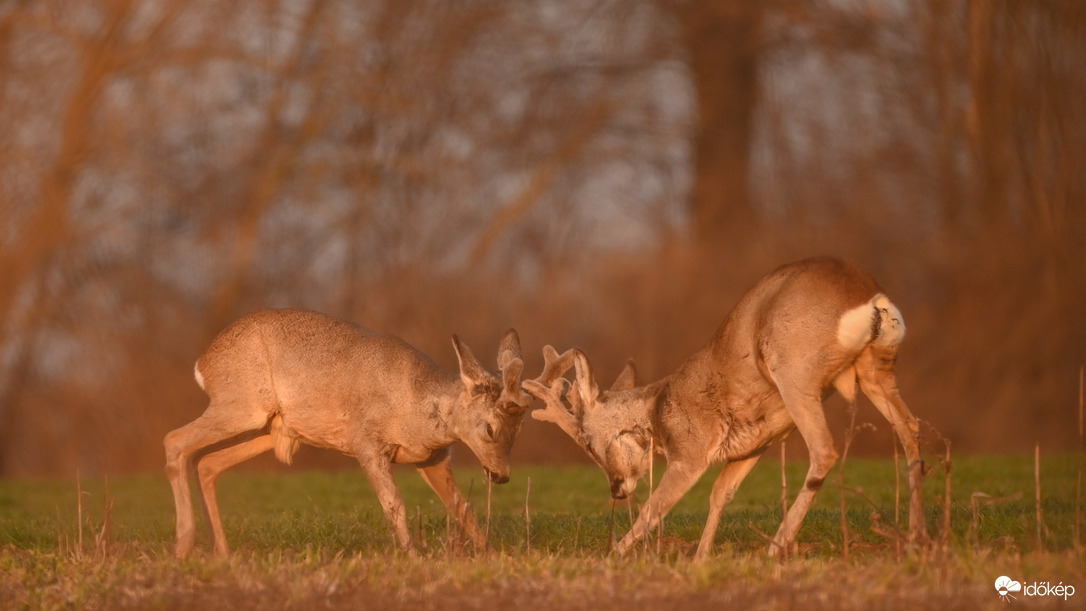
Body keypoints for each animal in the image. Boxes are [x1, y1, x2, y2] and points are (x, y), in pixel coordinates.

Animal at [162, 310, 532, 559]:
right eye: (490, 428)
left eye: (520, 429)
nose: (501, 475)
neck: (414, 407)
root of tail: (202, 364)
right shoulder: (365, 441)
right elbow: (394, 503)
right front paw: (412, 557)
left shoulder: (434, 457)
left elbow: (462, 507)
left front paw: (492, 556)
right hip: (241, 405)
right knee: (174, 441)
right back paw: (183, 546)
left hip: (275, 428)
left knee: (208, 462)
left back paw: (221, 551)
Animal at [523, 258, 925, 559]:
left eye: (590, 443)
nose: (617, 489)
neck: (658, 409)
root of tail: (867, 296)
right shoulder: (755, 443)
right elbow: (720, 494)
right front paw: (700, 557)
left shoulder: (690, 451)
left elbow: (655, 508)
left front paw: (611, 557)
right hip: (876, 369)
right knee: (911, 429)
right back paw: (915, 536)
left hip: (795, 371)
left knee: (825, 450)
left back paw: (777, 546)